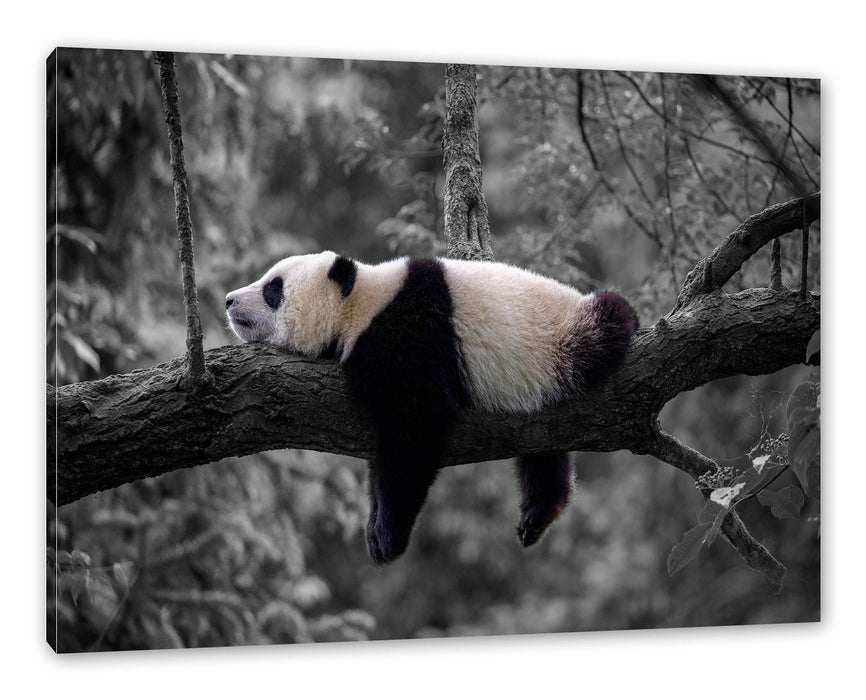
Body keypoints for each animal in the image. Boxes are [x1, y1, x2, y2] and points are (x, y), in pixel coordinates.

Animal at [225, 251, 638, 564]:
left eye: (274, 288)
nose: (229, 300)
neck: (361, 303)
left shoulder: (407, 334)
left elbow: (415, 430)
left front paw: (386, 536)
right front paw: (375, 525)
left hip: (564, 341)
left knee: (609, 321)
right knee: (543, 449)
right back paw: (539, 513)